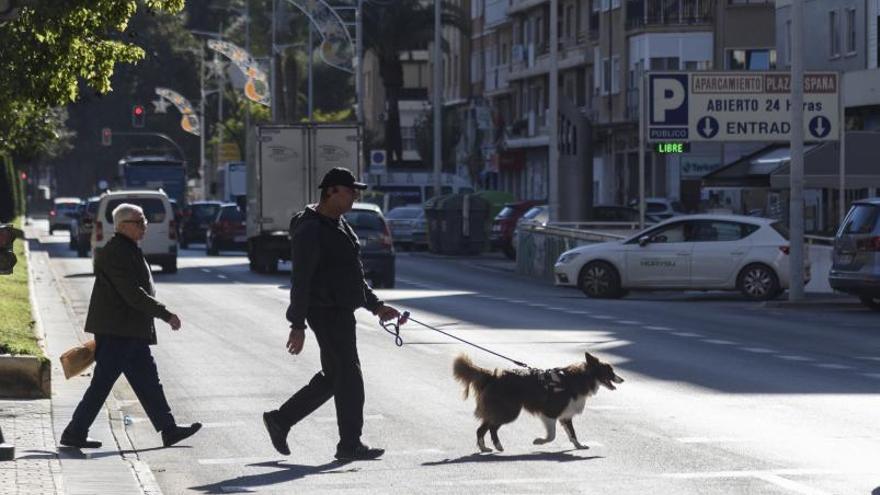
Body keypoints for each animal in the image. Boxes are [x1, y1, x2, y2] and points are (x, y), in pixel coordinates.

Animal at [454, 350, 624, 452]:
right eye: (609, 371)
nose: (622, 379)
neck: (578, 378)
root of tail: (493, 376)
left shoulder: (565, 415)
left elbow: (572, 433)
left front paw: (579, 445)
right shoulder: (550, 412)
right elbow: (552, 436)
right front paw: (539, 442)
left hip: (502, 410)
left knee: (484, 428)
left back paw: (487, 447)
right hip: (509, 411)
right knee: (490, 427)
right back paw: (495, 446)